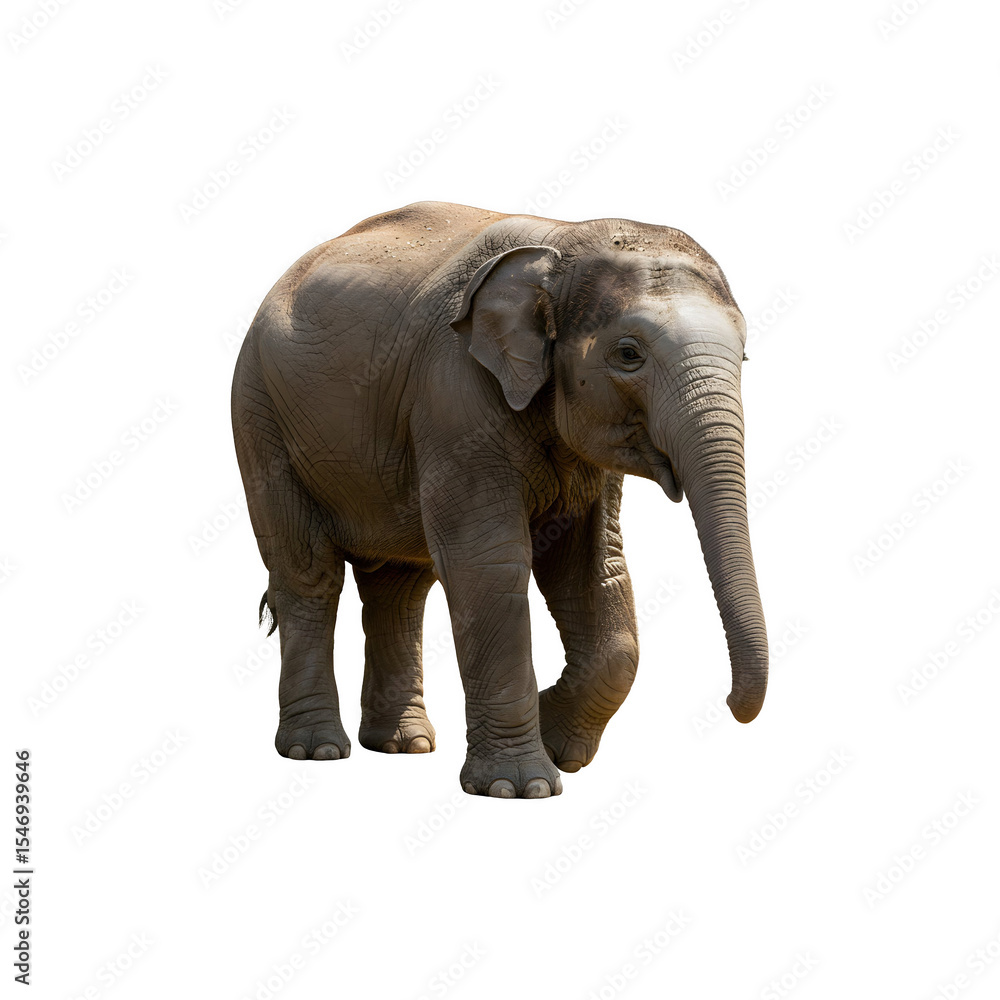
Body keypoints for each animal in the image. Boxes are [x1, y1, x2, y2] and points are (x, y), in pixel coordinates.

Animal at [231, 200, 768, 799]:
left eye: (745, 356)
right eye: (628, 354)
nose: (731, 704)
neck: (565, 242)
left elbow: (592, 570)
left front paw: (558, 746)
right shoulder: (454, 393)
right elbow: (488, 564)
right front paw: (522, 786)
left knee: (399, 585)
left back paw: (403, 746)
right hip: (259, 415)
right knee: (309, 576)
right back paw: (317, 751)